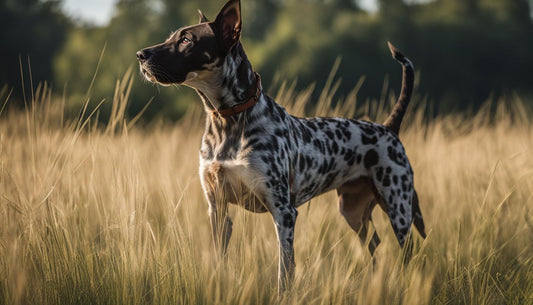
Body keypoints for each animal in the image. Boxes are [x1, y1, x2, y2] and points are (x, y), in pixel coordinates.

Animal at [136, 0, 424, 290]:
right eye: (171, 37)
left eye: (187, 40)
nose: (140, 54)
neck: (227, 123)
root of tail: (388, 127)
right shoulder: (217, 208)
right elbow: (220, 261)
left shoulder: (284, 212)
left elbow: (284, 271)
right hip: (353, 211)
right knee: (375, 245)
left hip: (398, 207)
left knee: (408, 253)